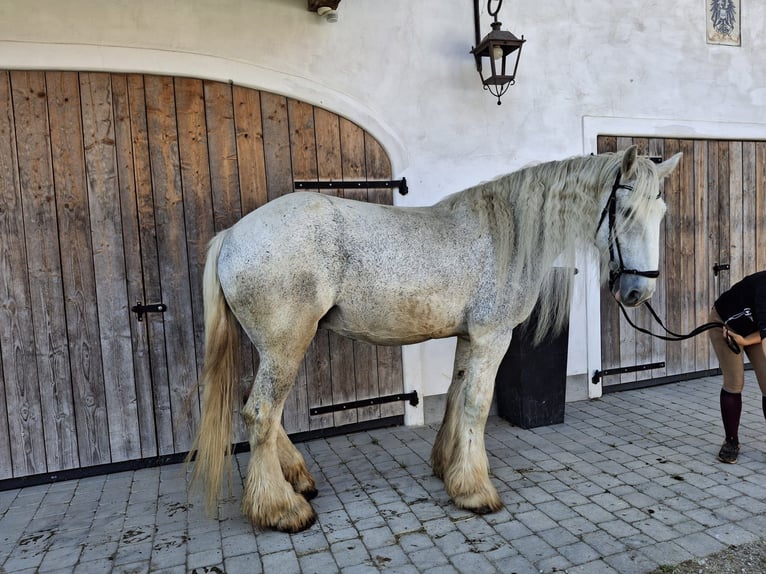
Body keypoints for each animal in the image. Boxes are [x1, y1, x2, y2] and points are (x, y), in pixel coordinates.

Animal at [186, 145, 682, 533]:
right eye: (626, 212)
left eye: (661, 214)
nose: (638, 292)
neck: (507, 234)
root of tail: (232, 236)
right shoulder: (492, 337)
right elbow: (477, 404)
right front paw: (476, 490)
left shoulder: (469, 338)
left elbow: (457, 396)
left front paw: (449, 468)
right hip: (286, 346)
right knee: (260, 414)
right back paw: (281, 508)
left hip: (275, 348)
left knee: (265, 414)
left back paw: (297, 480)